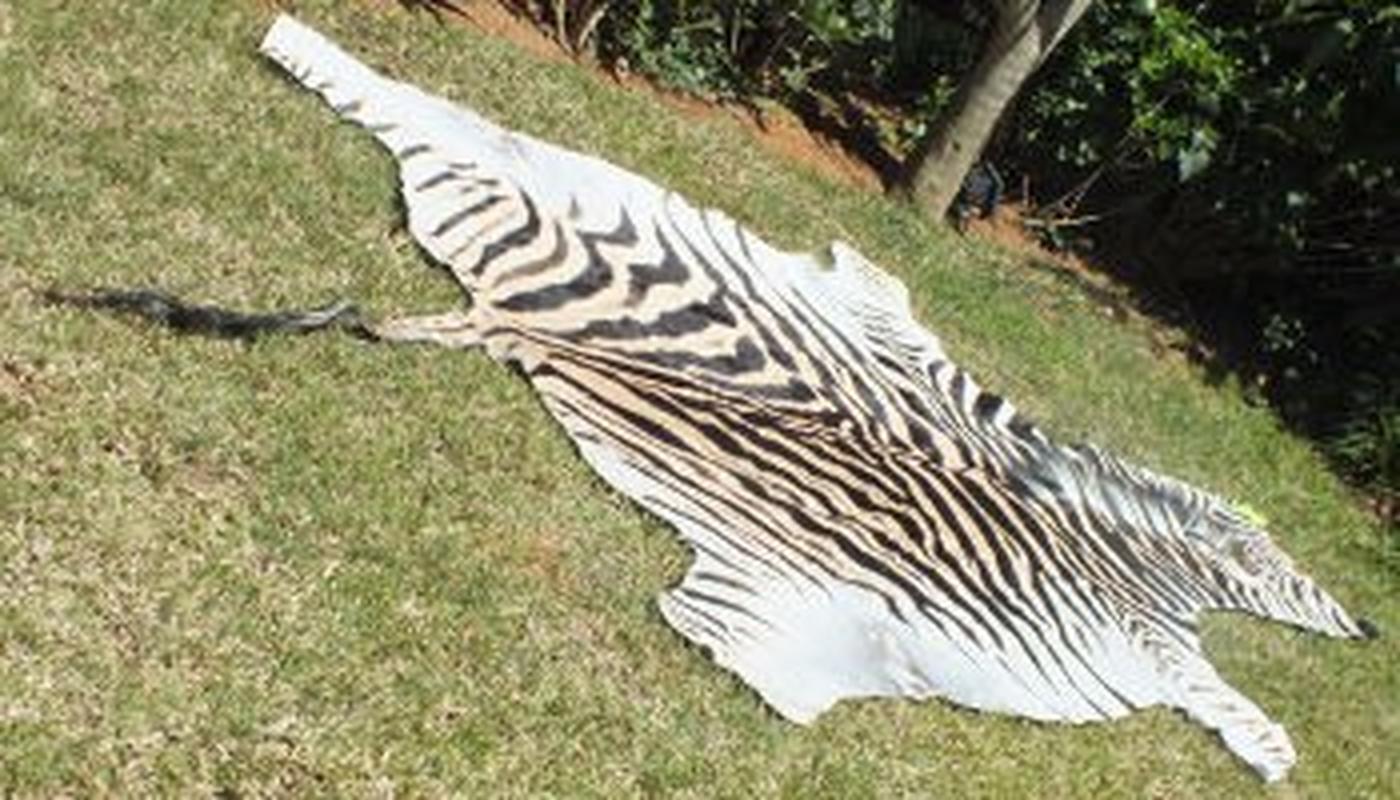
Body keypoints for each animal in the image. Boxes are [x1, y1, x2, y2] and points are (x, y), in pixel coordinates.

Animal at [61, 14, 1375, 782]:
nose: (1370, 629)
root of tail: (517, 325)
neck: (1123, 538)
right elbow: (1222, 691)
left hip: (558, 234)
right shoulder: (1150, 643)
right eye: (1288, 568)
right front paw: (1278, 747)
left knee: (419, 119)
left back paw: (293, 44)